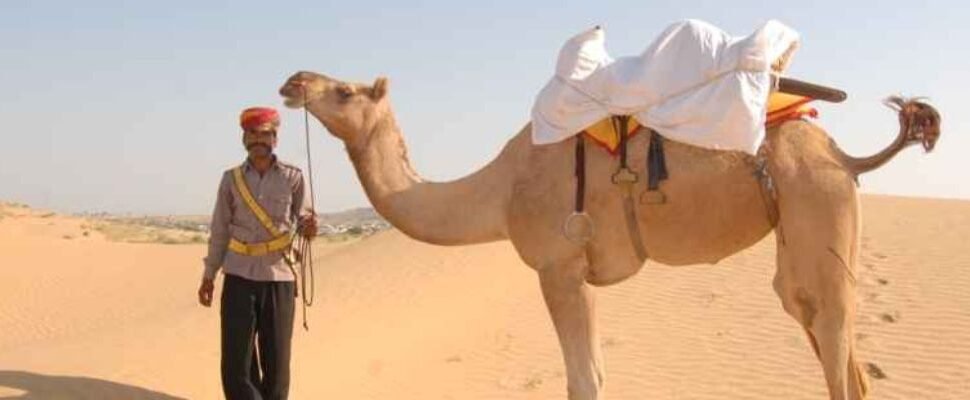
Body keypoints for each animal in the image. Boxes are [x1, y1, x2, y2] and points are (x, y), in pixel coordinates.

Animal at [278, 70, 936, 398]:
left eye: (344, 91)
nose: (293, 79)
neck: (499, 190)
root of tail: (843, 155)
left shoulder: (559, 265)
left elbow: (584, 378)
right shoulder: (579, 273)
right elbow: (593, 372)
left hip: (817, 199)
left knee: (835, 337)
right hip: (804, 235)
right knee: (831, 341)